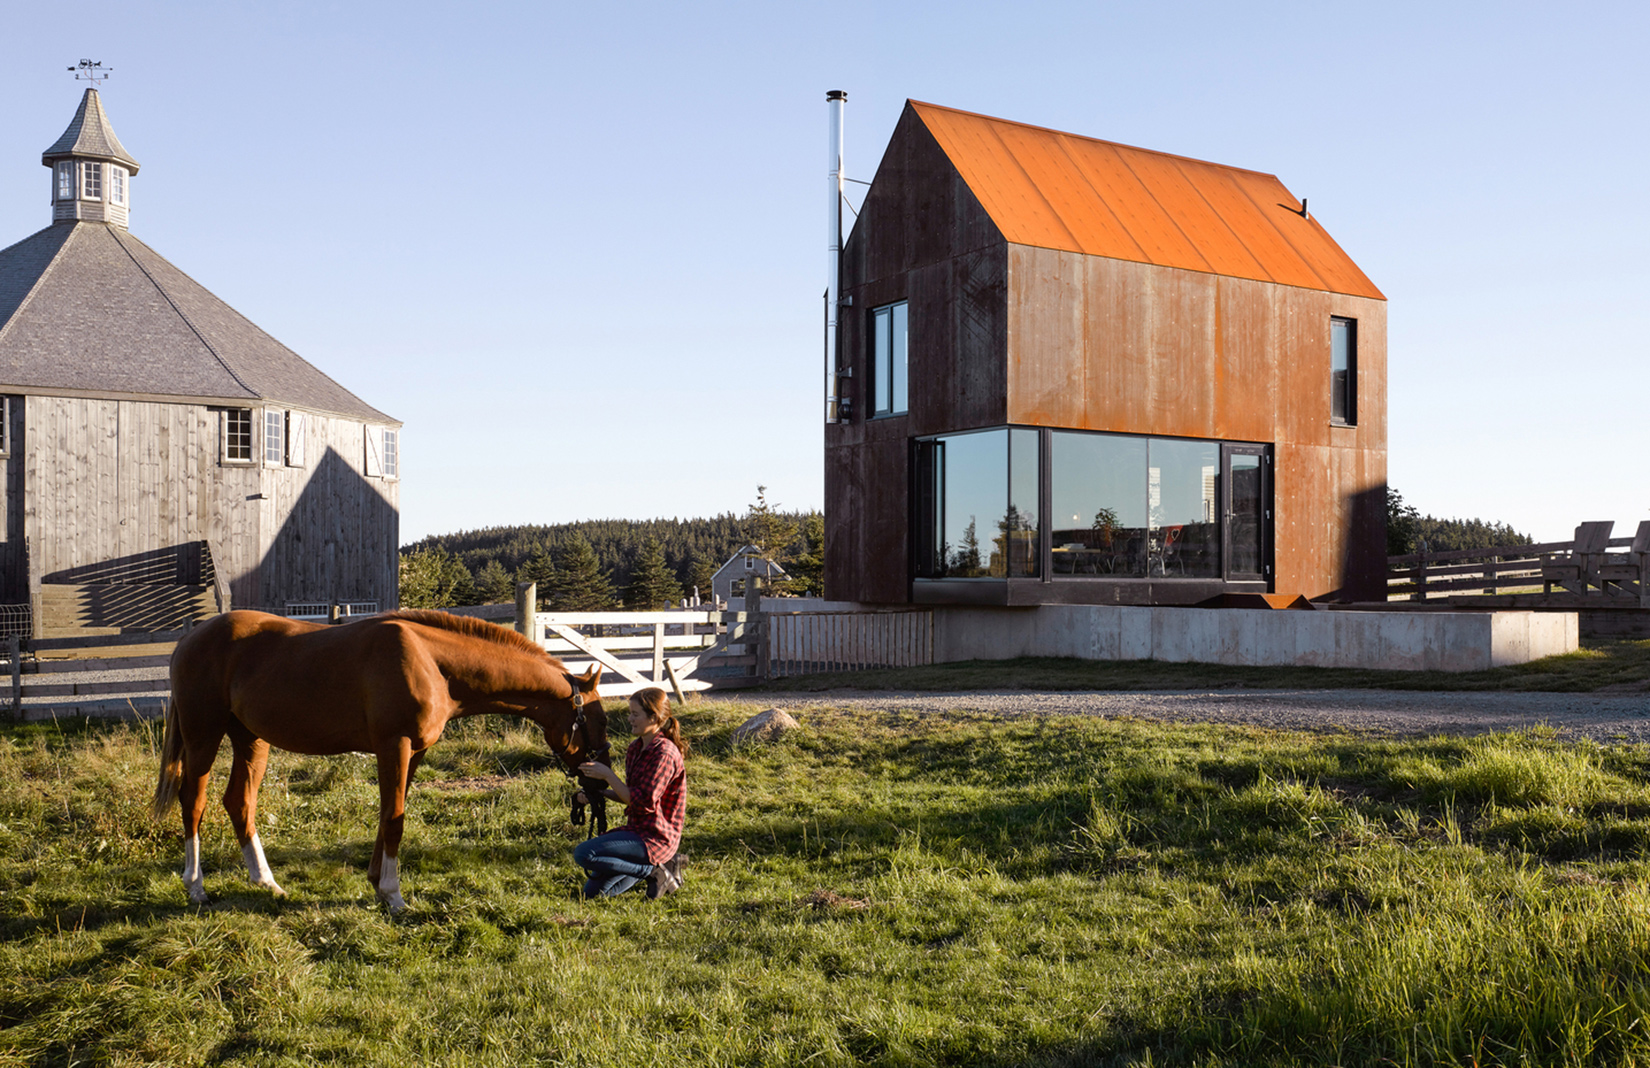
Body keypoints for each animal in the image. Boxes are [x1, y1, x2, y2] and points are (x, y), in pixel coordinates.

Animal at [151, 610, 607, 911]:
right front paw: (394, 895)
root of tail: (189, 640)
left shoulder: (414, 751)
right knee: (193, 802)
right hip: (203, 735)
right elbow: (395, 819)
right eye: (596, 719)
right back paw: (196, 886)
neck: (431, 662)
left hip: (251, 740)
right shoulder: (395, 745)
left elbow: (391, 812)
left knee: (239, 802)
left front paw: (377, 883)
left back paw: (267, 882)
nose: (600, 780)